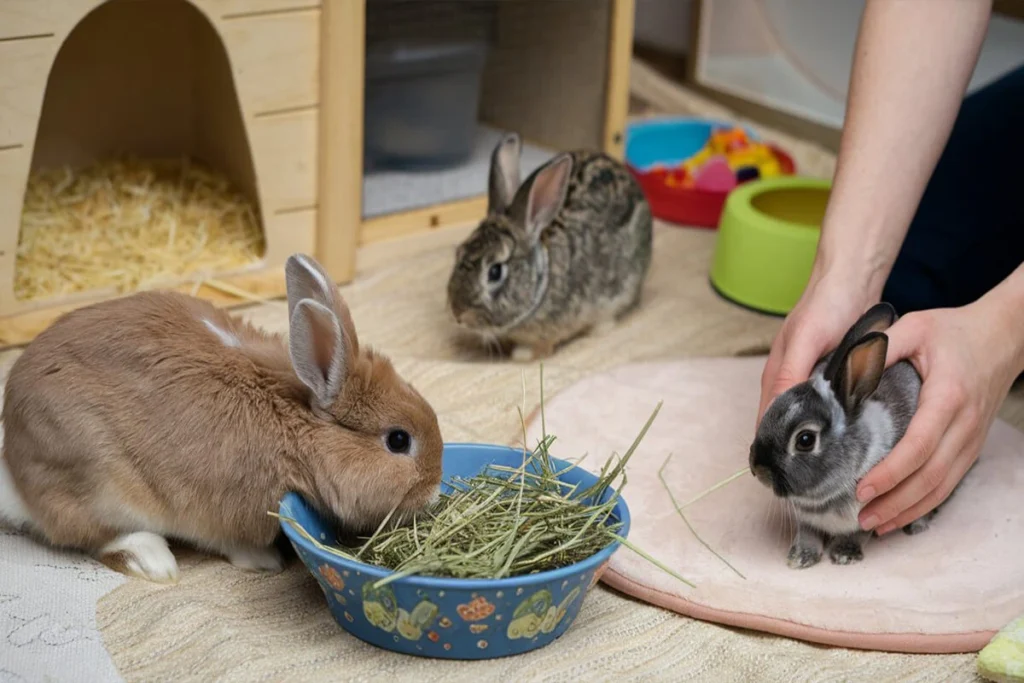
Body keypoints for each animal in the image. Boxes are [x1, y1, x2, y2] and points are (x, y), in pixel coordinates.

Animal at [0, 253, 444, 585]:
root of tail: (15, 477)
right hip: (98, 486)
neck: (296, 426)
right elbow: (231, 543)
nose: (435, 488)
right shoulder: (224, 513)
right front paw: (266, 561)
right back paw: (155, 563)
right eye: (399, 440)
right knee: (92, 537)